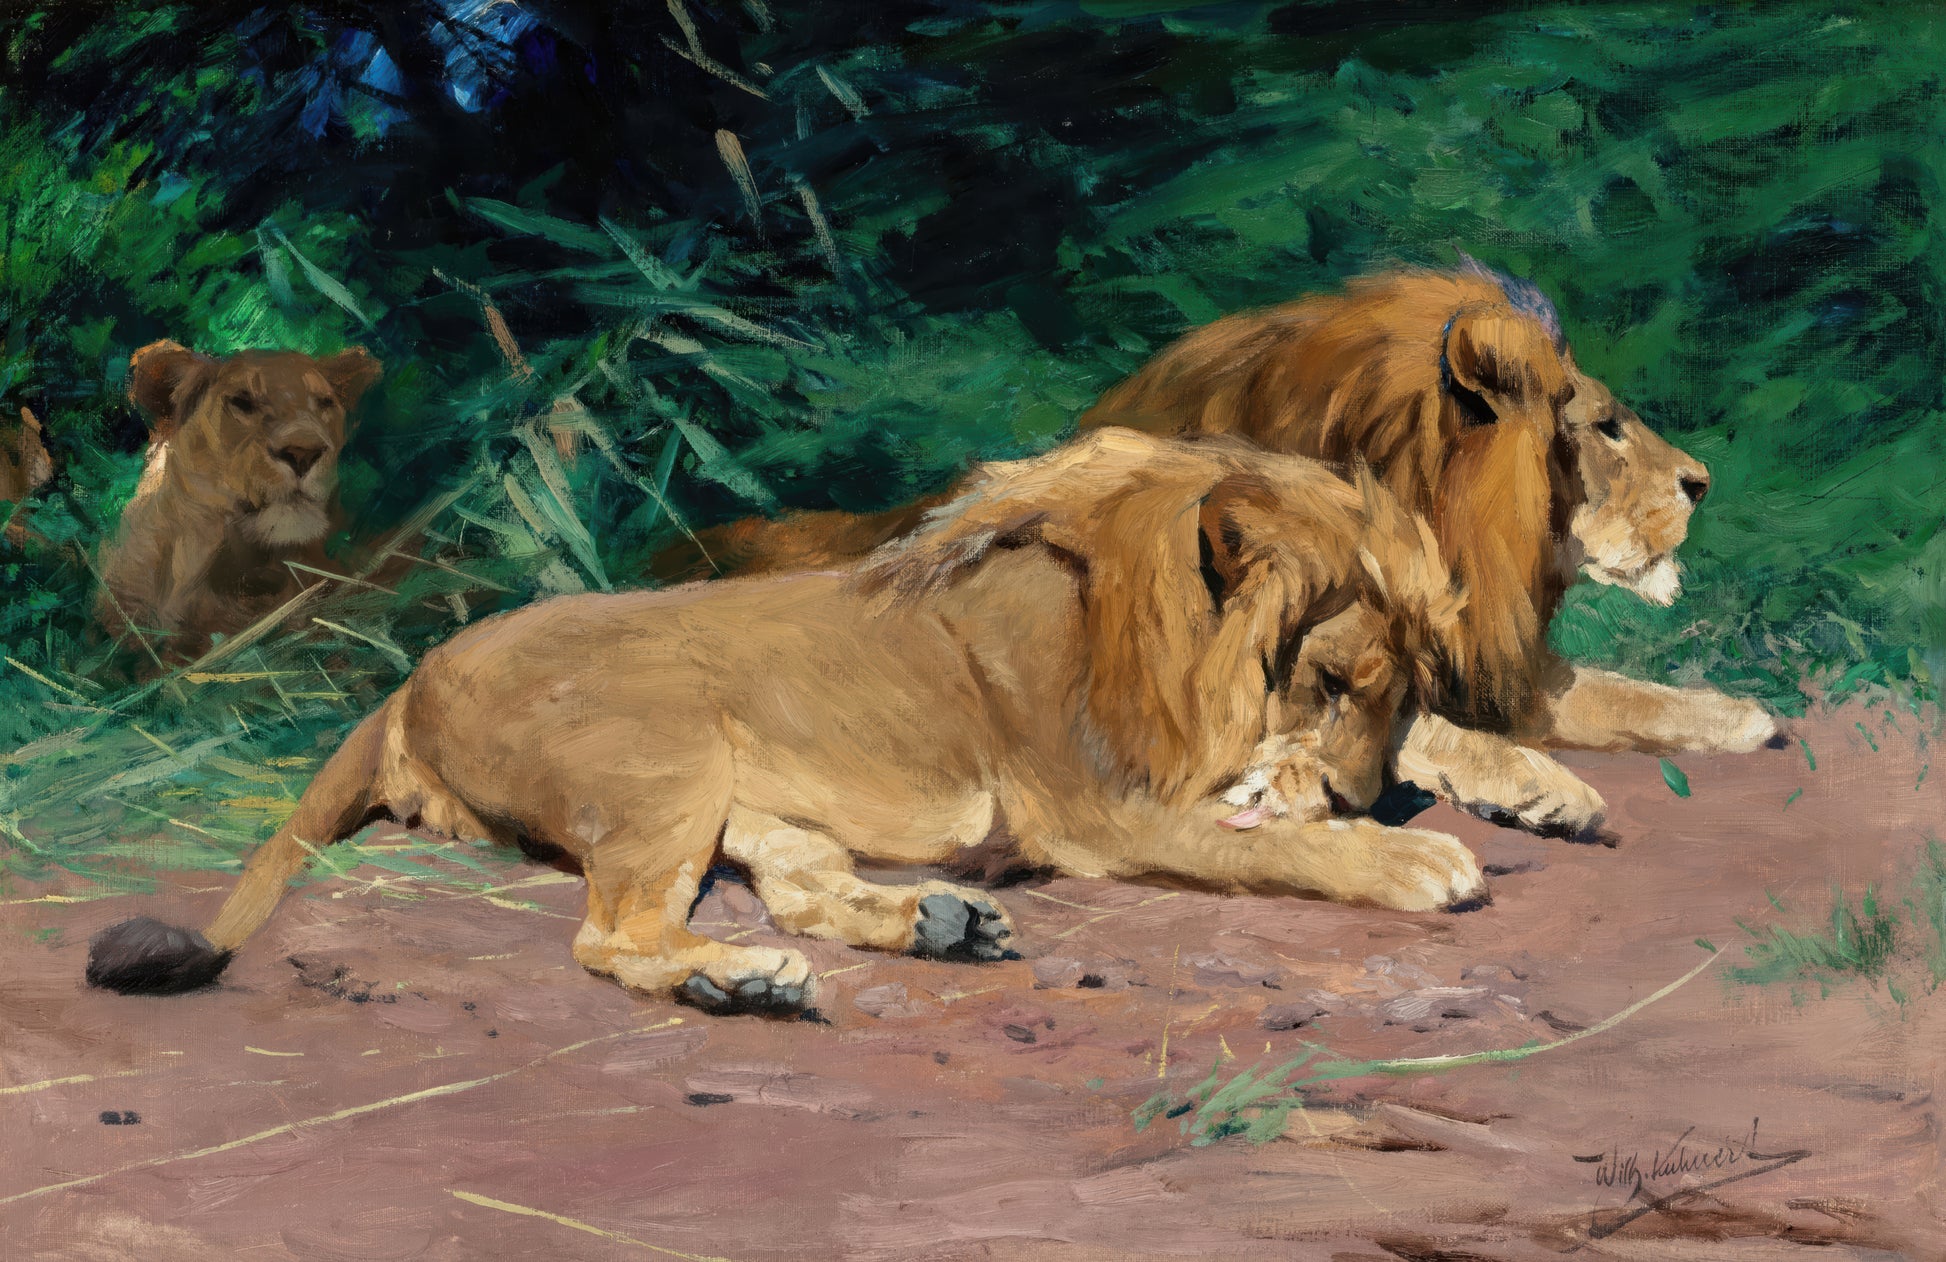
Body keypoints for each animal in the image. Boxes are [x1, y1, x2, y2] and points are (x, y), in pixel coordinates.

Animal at [87, 430, 1483, 1017]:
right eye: (1332, 680)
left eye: (1403, 691)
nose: (1360, 795)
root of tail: (409, 677)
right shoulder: (1099, 809)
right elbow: (1274, 838)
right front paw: (1409, 851)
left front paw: (1456, 791)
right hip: (666, 753)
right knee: (612, 937)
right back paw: (741, 979)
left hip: (733, 797)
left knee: (801, 889)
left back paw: (931, 921)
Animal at [653, 260, 1776, 837]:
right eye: (1605, 425)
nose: (1702, 481)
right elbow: (1405, 722)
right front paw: (1543, 786)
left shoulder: (1490, 658)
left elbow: (1622, 691)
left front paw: (1740, 715)